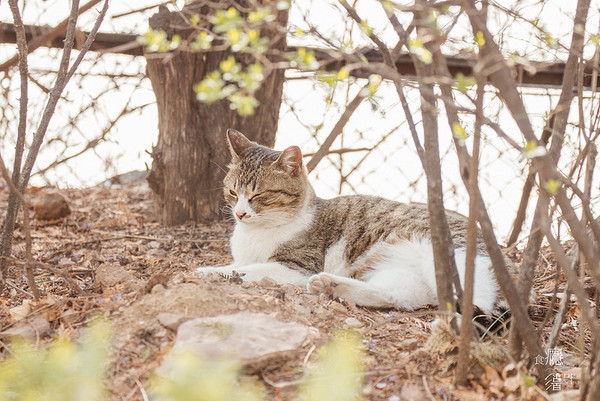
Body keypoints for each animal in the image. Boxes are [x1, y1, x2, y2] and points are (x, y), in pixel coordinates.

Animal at [199, 129, 500, 312]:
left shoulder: (297, 267)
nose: (240, 213)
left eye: (258, 195)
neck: (256, 232)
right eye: (233, 192)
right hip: (396, 272)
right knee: (395, 296)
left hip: (451, 256)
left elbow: (246, 269)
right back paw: (333, 286)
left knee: (476, 300)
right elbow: (238, 265)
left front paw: (207, 272)